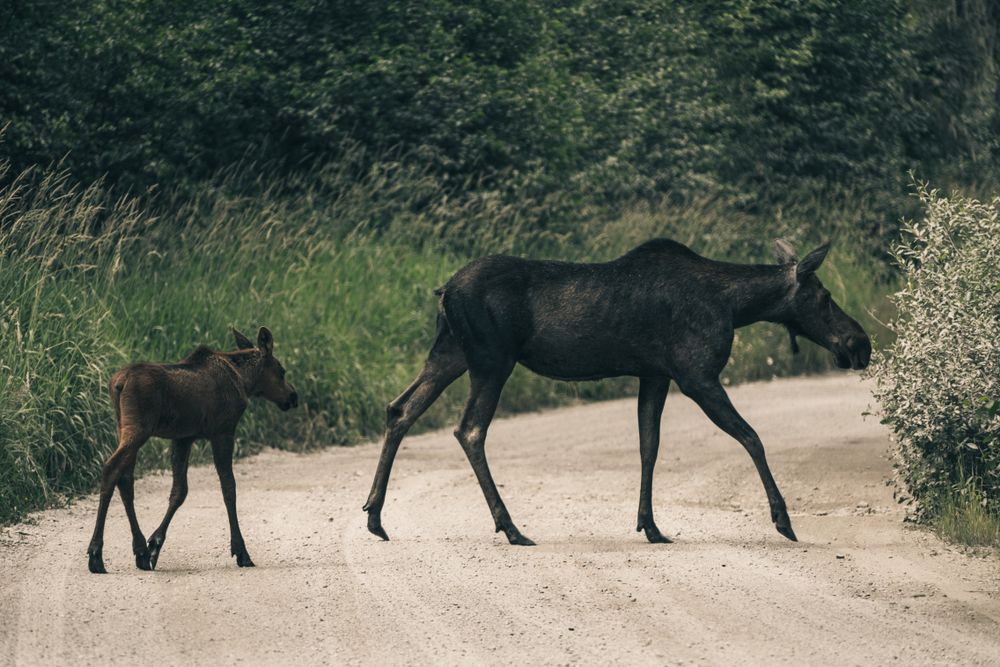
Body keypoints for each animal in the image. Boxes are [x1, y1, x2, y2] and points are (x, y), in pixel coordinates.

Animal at [87, 327, 298, 574]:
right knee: (111, 469)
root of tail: (119, 382)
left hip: (123, 426)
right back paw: (96, 554)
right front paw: (241, 552)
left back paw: (139, 551)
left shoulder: (183, 438)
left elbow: (179, 492)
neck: (245, 380)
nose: (293, 396)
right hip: (138, 429)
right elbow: (229, 488)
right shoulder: (223, 432)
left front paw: (154, 546)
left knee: (125, 478)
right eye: (281, 371)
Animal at [363, 238, 871, 546]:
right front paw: (783, 519)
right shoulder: (696, 375)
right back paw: (510, 527)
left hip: (450, 353)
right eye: (825, 297)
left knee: (400, 409)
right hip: (491, 360)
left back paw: (374, 517)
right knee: (468, 429)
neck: (736, 306)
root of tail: (444, 290)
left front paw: (650, 525)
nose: (859, 344)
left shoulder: (655, 375)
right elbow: (752, 437)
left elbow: (649, 446)